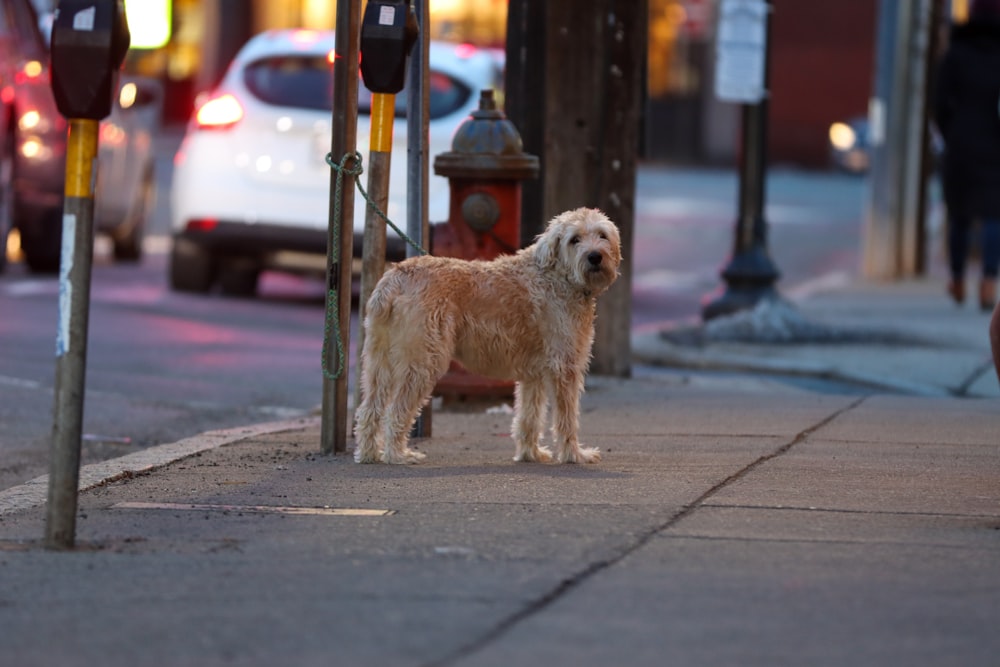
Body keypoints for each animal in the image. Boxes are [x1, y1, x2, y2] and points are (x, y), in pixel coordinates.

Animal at [352, 207, 616, 464]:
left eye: (602, 235)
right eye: (575, 239)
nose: (595, 256)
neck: (558, 274)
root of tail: (394, 278)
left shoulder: (534, 374)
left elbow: (529, 416)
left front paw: (530, 454)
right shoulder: (565, 367)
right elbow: (566, 418)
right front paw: (575, 455)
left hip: (379, 364)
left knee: (369, 411)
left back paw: (369, 454)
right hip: (421, 364)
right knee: (395, 412)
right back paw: (397, 455)